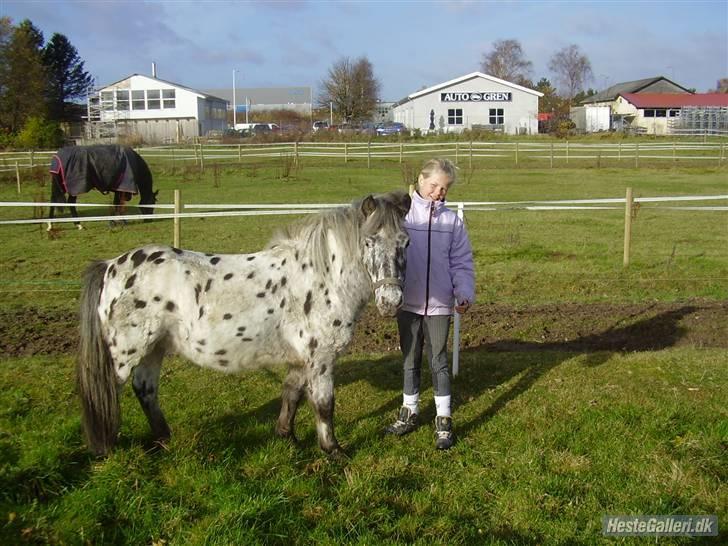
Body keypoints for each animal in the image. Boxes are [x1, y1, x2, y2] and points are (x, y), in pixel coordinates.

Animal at [77, 190, 412, 454]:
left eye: (405, 242)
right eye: (368, 242)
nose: (391, 301)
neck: (321, 278)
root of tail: (110, 266)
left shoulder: (301, 359)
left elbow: (292, 393)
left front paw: (287, 437)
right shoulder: (321, 358)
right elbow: (324, 404)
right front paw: (333, 450)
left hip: (153, 349)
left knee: (145, 390)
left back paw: (163, 440)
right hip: (125, 355)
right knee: (108, 395)